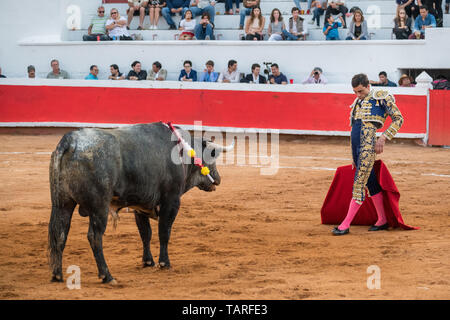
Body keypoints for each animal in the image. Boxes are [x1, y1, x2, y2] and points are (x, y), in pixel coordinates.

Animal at [48, 121, 234, 284]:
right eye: (213, 156)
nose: (218, 179)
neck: (183, 153)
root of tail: (71, 141)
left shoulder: (140, 205)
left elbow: (145, 233)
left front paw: (148, 262)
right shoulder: (171, 200)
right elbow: (164, 232)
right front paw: (164, 263)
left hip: (63, 203)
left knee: (60, 233)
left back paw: (57, 275)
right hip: (98, 206)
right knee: (94, 236)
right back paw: (107, 276)